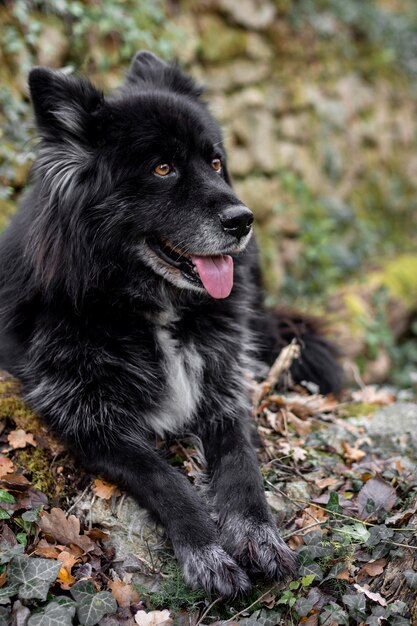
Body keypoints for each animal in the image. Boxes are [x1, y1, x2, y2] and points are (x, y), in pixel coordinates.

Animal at [0, 52, 342, 596]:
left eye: (216, 162)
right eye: (163, 168)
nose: (243, 220)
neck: (151, 311)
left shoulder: (224, 393)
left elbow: (242, 467)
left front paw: (258, 535)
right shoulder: (90, 423)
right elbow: (167, 480)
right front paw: (207, 551)